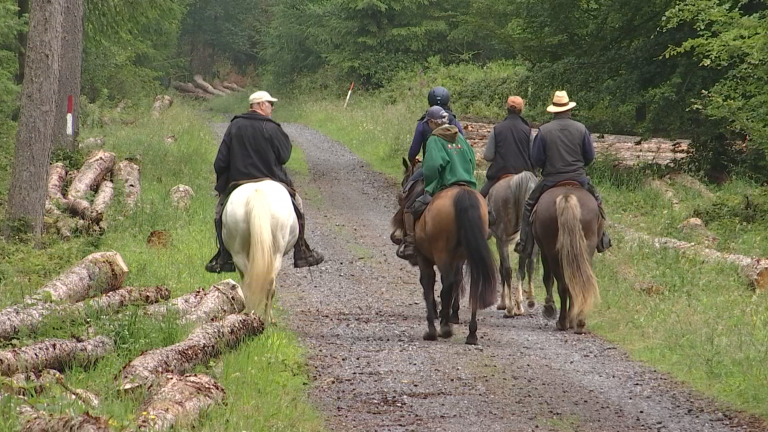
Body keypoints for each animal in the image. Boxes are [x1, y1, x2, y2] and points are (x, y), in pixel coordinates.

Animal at [222, 179, 300, 320]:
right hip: (276, 253)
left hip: (239, 253)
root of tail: (257, 192)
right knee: (268, 283)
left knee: (251, 282)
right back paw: (266, 319)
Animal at [532, 184, 604, 332]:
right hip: (585, 252)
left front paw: (549, 308)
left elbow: (547, 278)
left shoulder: (544, 252)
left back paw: (563, 322)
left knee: (563, 285)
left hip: (553, 254)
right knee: (579, 283)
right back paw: (579, 321)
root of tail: (567, 197)